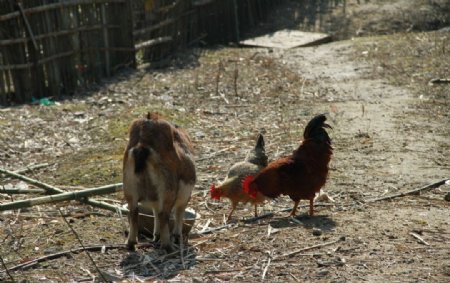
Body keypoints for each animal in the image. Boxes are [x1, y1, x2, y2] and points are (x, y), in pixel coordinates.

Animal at [123, 112, 195, 252]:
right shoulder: (184, 196)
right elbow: (179, 213)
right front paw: (176, 236)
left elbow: (155, 211)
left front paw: (156, 236)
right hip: (167, 190)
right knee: (163, 215)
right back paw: (168, 246)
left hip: (129, 187)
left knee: (134, 212)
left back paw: (131, 243)